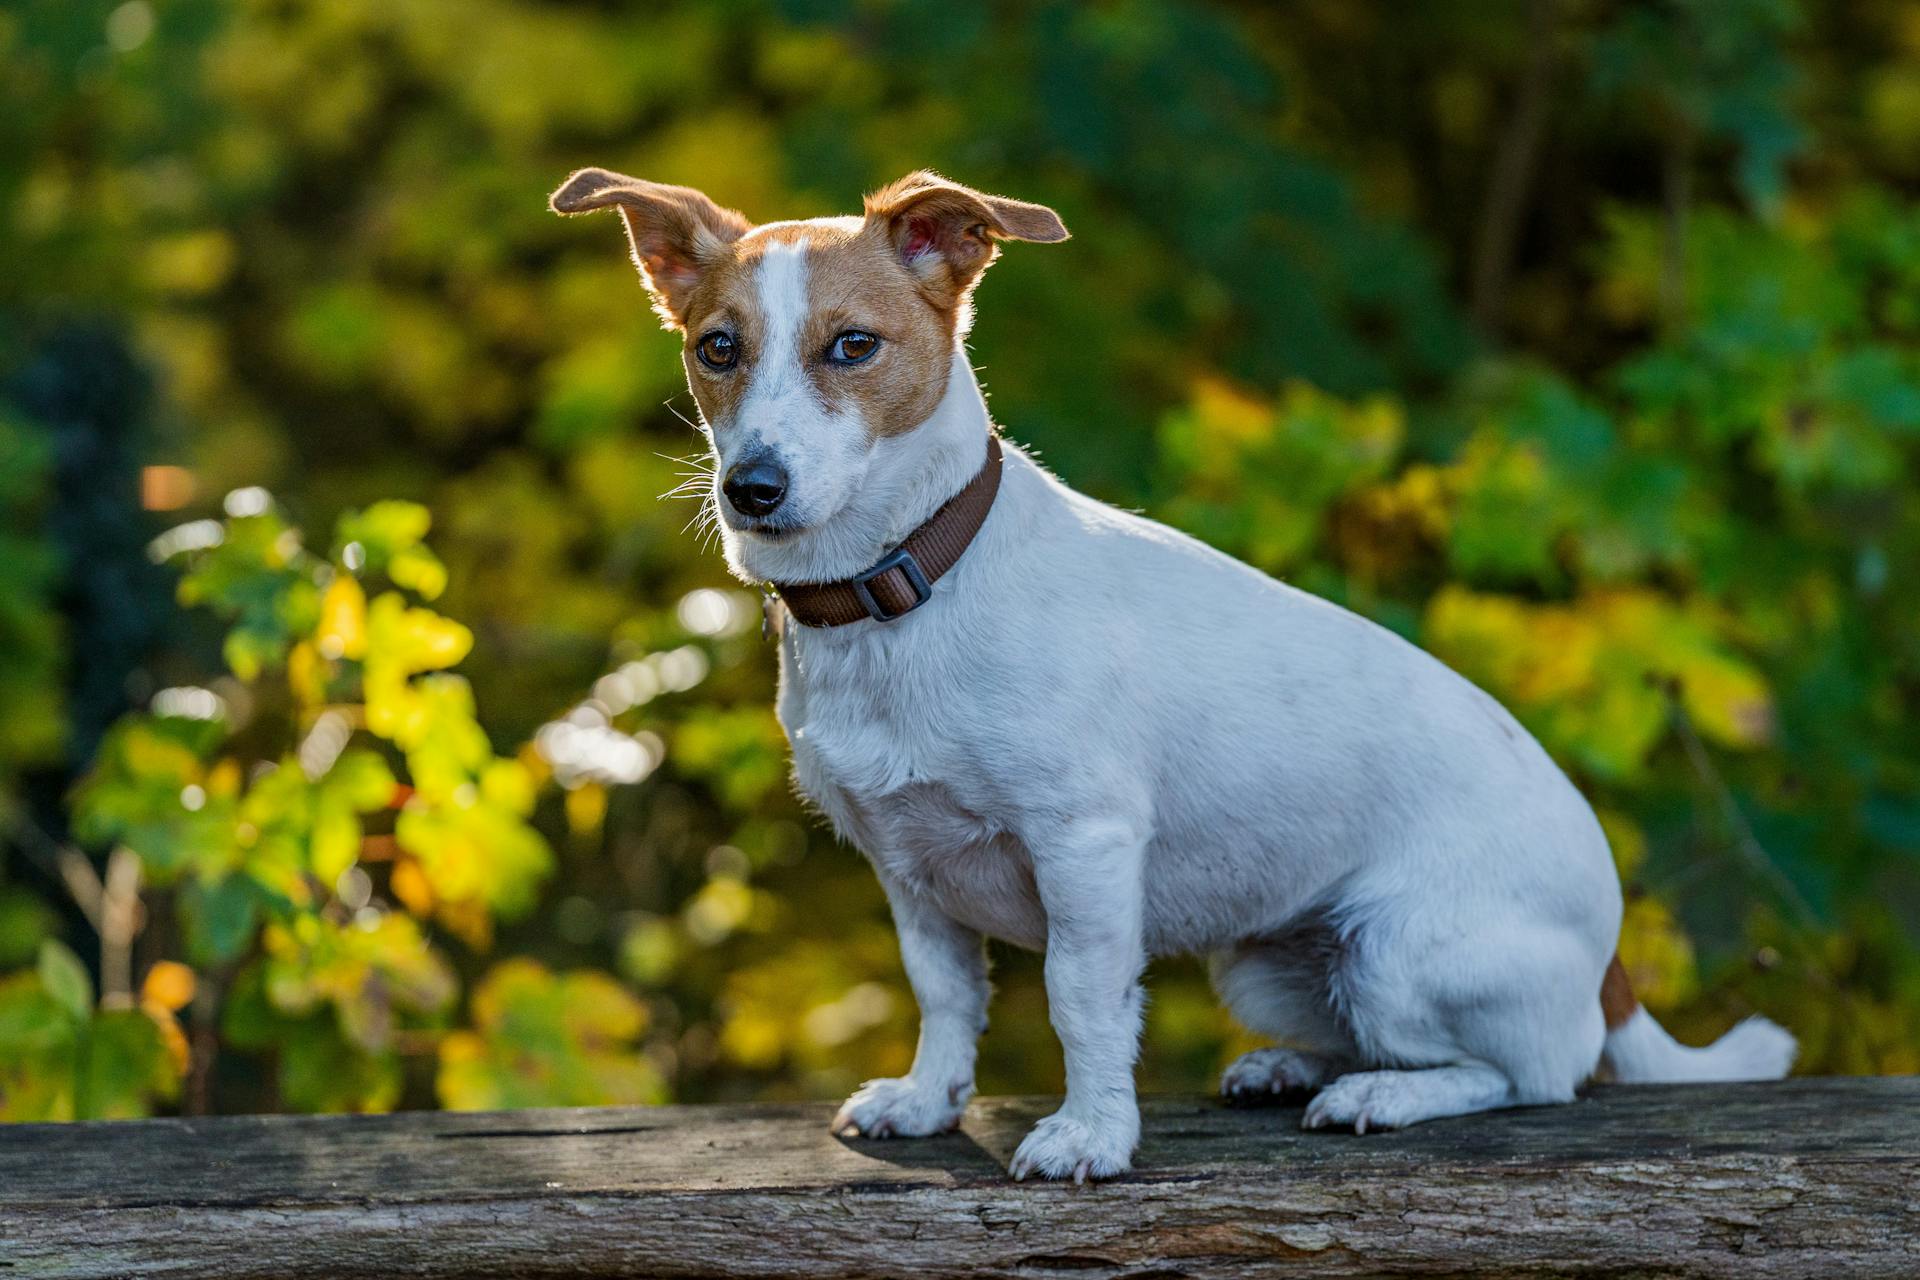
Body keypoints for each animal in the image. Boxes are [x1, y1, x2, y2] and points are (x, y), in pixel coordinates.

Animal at [549, 167, 1789, 1182]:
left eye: (853, 346)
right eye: (717, 348)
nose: (751, 488)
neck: (906, 589)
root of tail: (1612, 965)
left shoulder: (1085, 846)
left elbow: (1081, 1000)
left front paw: (1091, 1134)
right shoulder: (909, 867)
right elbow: (946, 993)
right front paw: (930, 1098)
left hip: (1397, 948)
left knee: (1528, 1072)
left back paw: (1379, 1095)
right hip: (1267, 961)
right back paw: (1292, 1067)